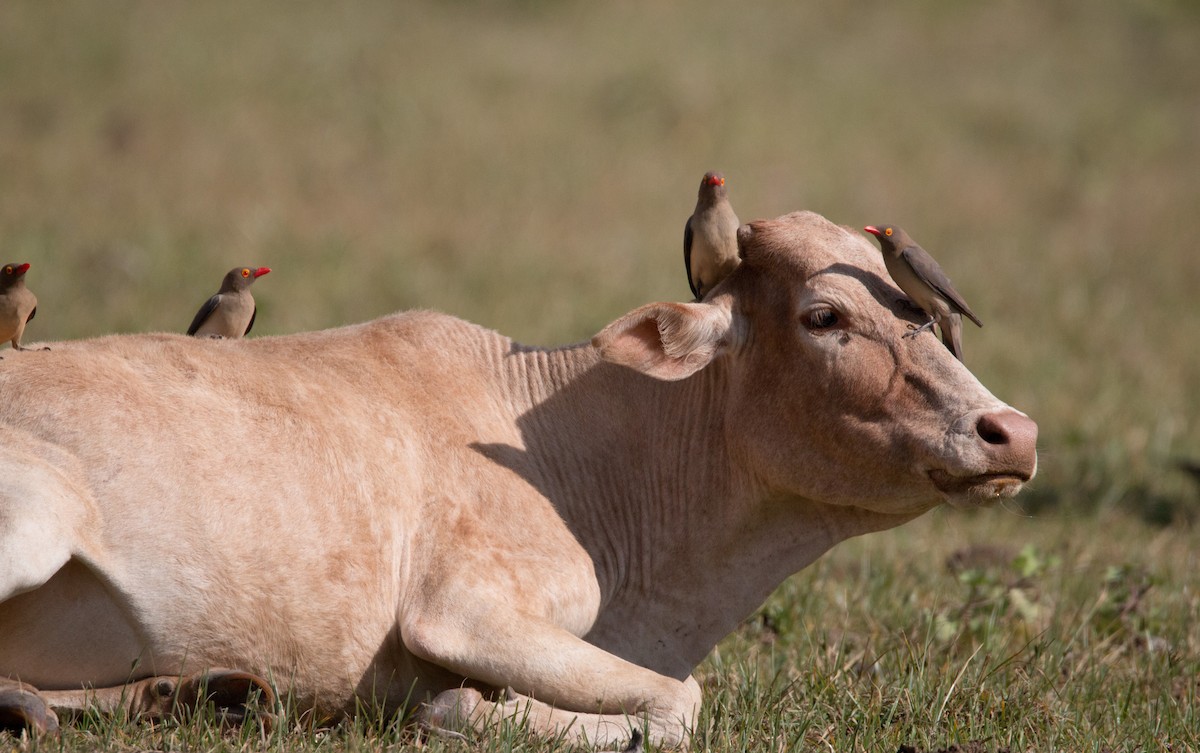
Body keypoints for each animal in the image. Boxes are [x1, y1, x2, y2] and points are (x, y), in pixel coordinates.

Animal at [0, 209, 1032, 748]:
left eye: (927, 312)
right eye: (824, 316)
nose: (1011, 431)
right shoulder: (464, 610)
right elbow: (677, 703)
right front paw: (463, 707)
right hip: (36, 519)